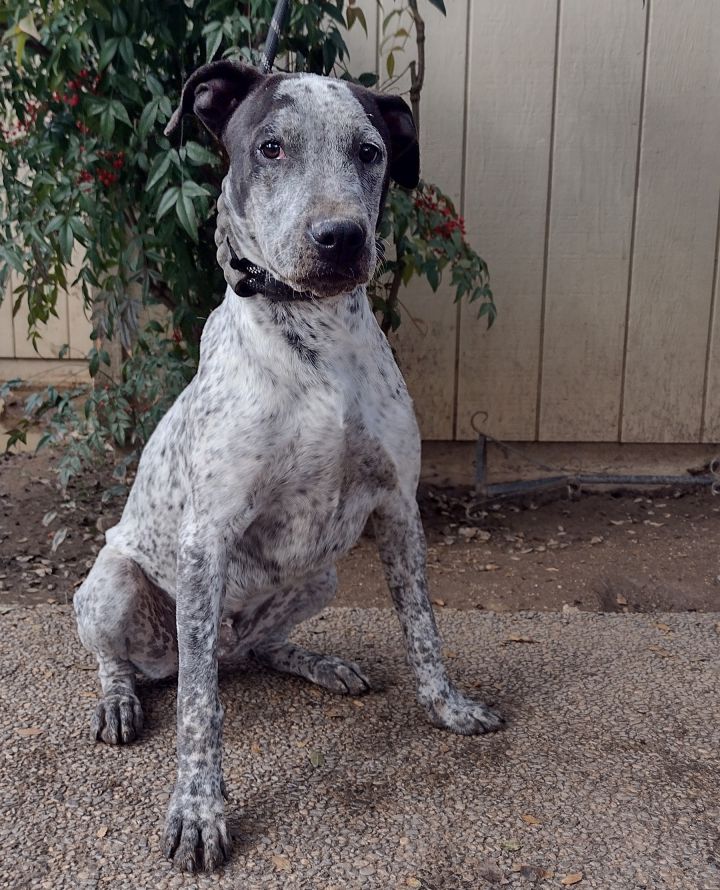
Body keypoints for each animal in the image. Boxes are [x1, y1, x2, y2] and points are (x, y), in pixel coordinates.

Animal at [71, 59, 500, 872]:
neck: (318, 337)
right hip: (110, 585)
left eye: (370, 152)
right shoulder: (206, 538)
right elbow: (200, 714)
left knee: (255, 650)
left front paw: (448, 708)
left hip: (318, 577)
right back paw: (118, 700)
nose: (340, 237)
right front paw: (199, 812)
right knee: (144, 666)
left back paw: (315, 663)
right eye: (270, 147)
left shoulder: (399, 507)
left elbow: (424, 628)